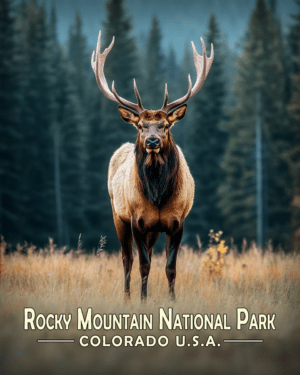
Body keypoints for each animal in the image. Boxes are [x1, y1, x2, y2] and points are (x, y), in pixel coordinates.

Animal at [91, 30, 213, 302]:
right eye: (140, 126)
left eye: (165, 125)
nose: (152, 141)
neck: (157, 194)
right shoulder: (136, 220)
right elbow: (143, 265)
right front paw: (143, 299)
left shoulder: (177, 221)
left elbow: (170, 267)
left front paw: (172, 299)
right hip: (118, 215)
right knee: (127, 259)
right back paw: (127, 296)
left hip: (153, 230)